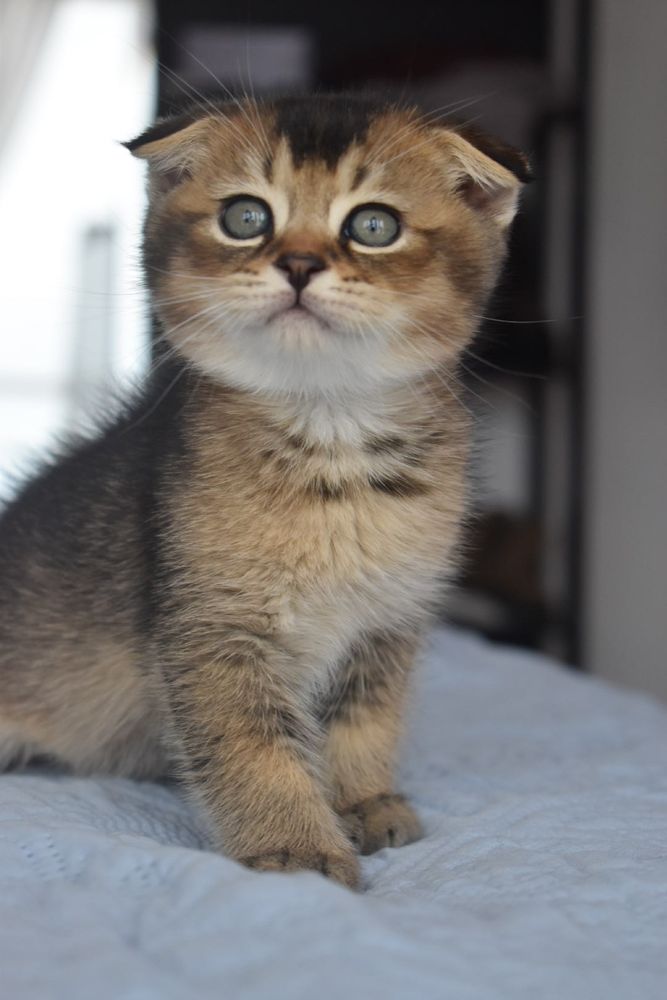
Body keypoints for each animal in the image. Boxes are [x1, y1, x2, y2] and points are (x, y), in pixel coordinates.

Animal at [0, 95, 532, 892]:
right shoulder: (213, 629)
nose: (300, 264)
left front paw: (364, 801)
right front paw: (297, 850)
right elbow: (256, 747)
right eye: (246, 217)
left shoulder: (386, 622)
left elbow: (362, 721)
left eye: (373, 226)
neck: (333, 460)